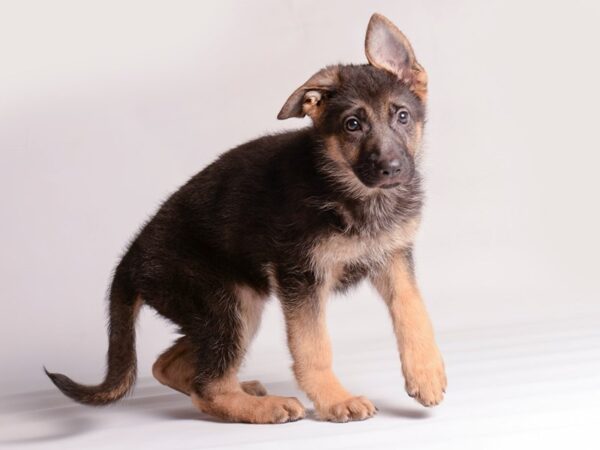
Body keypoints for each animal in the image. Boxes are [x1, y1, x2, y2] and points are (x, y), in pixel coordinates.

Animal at [45, 13, 446, 422]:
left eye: (402, 116)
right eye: (353, 125)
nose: (392, 170)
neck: (354, 192)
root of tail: (130, 261)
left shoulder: (393, 258)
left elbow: (414, 311)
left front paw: (427, 373)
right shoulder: (300, 278)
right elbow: (313, 346)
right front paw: (335, 400)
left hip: (236, 307)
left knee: (170, 365)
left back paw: (244, 390)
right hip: (224, 304)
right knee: (208, 387)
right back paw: (265, 407)